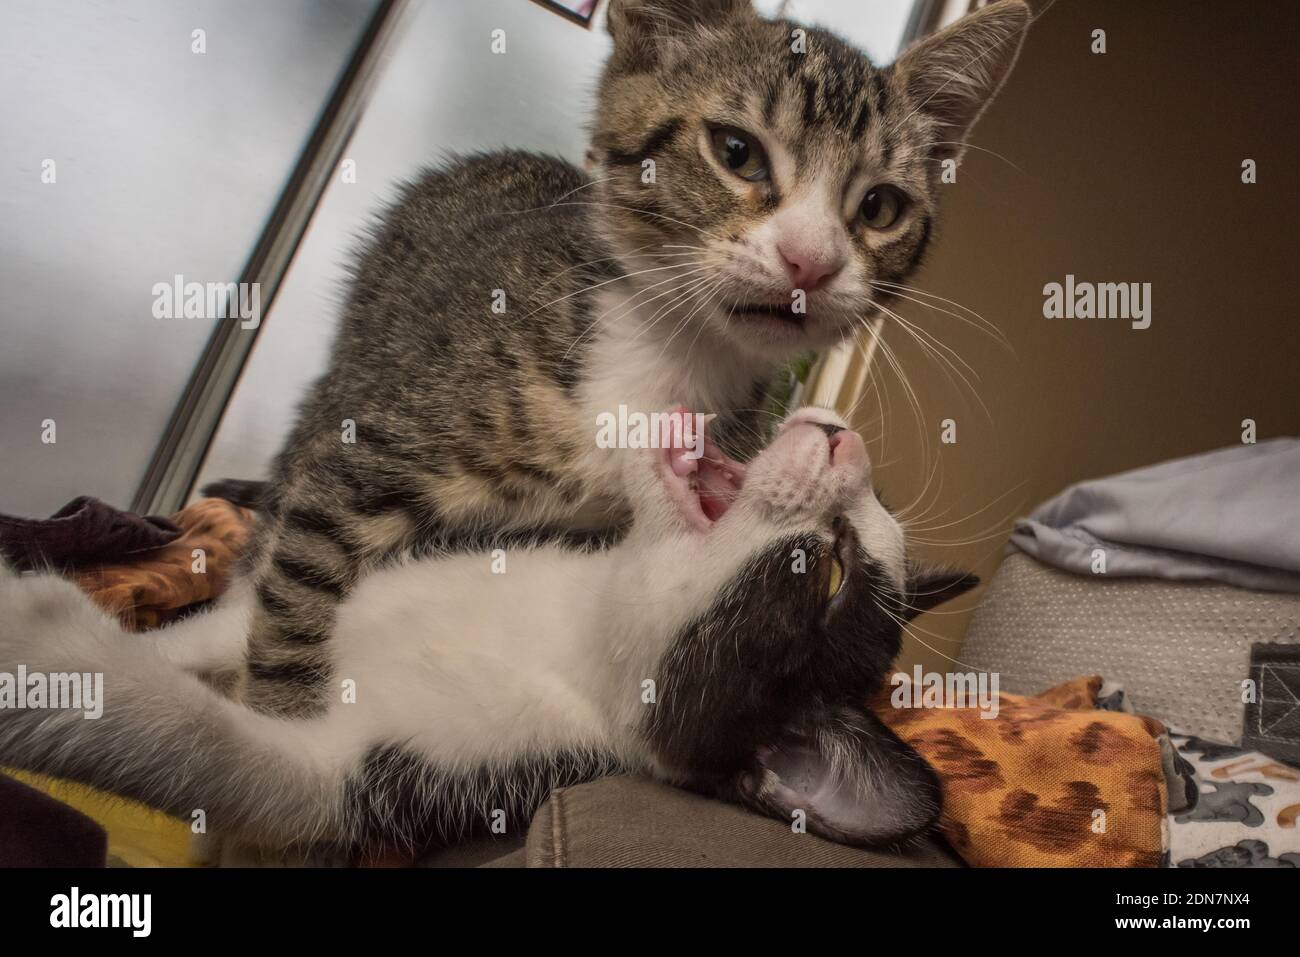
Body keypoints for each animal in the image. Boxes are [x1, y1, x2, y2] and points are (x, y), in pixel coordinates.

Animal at [231, 0, 1024, 717]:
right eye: (736, 152)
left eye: (881, 207)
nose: (813, 259)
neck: (680, 356)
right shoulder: (371, 448)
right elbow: (305, 576)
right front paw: (277, 723)